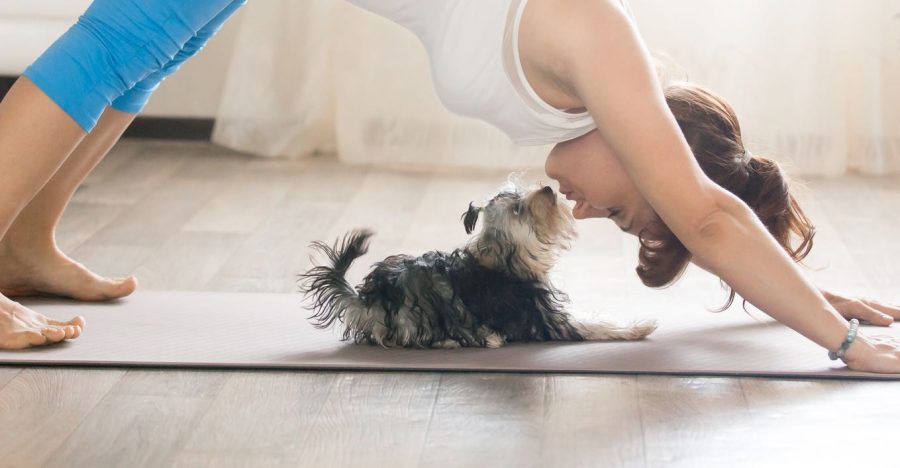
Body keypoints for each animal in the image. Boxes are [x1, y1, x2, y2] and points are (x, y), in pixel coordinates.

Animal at [298, 183, 656, 348]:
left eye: (521, 193)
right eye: (518, 210)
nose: (548, 187)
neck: (509, 257)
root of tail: (365, 301)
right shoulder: (546, 317)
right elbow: (595, 324)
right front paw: (638, 327)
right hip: (425, 308)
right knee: (419, 338)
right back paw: (481, 338)